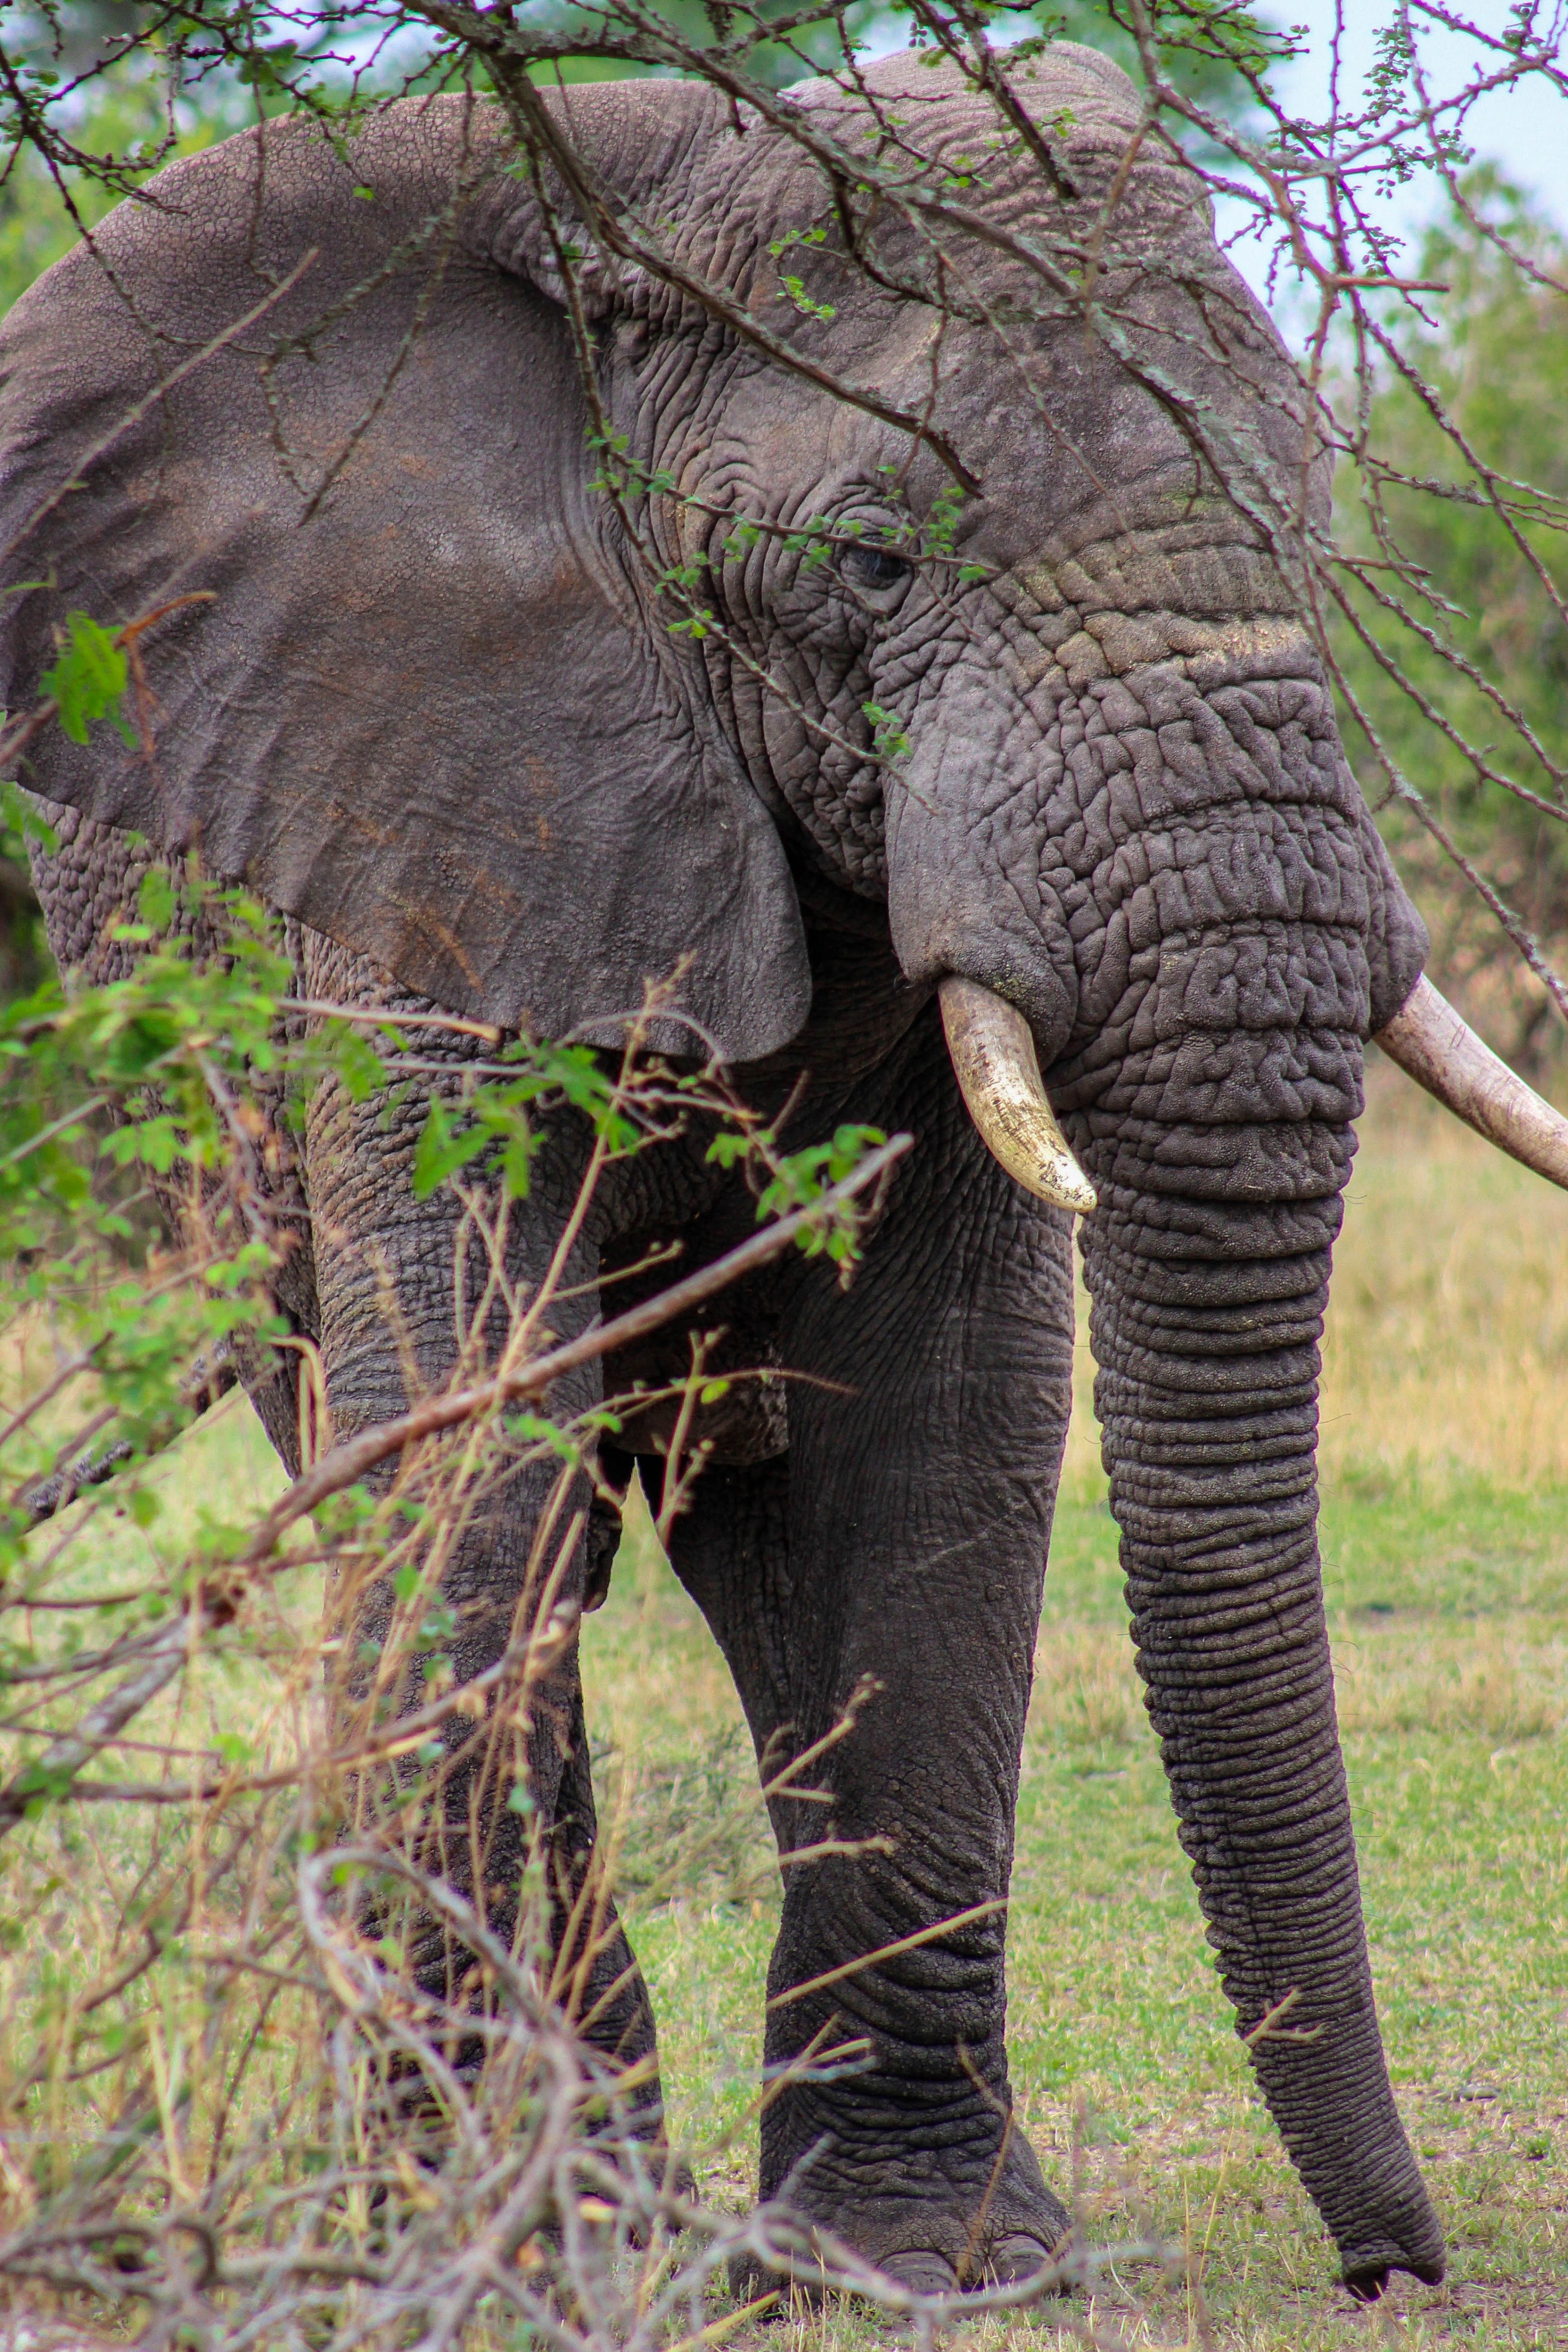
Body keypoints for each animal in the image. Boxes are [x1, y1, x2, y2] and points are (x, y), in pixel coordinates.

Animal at [6, 32, 1561, 2314]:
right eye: (874, 566)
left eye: (1304, 514)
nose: (1393, 2265)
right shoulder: (407, 838)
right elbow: (468, 1441)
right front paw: (493, 2251)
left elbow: (927, 1429)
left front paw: (917, 2264)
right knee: (490, 1518)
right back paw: (568, 2206)